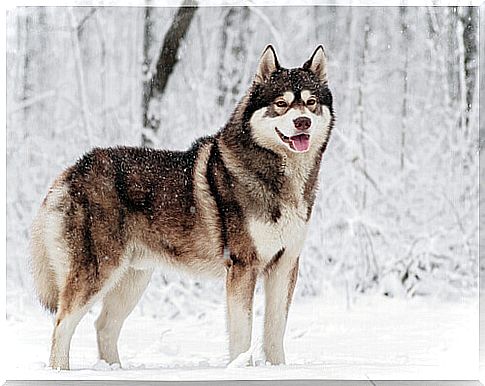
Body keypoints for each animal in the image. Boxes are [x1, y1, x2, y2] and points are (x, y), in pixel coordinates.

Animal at [30, 45, 332, 370]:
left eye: (311, 103)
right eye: (281, 104)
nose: (303, 122)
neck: (281, 178)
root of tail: (71, 171)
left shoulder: (285, 265)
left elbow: (275, 330)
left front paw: (276, 369)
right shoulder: (243, 266)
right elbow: (243, 333)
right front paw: (241, 368)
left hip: (133, 279)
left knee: (103, 326)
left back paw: (114, 370)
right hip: (97, 273)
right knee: (62, 324)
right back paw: (61, 371)